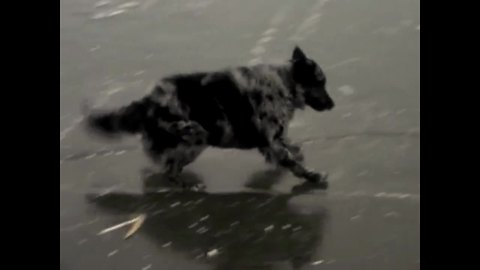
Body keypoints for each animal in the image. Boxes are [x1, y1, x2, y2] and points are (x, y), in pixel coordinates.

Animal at [85, 46, 334, 189]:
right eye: (320, 83)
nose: (332, 105)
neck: (285, 84)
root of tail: (147, 101)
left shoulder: (272, 141)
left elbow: (292, 149)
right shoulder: (270, 141)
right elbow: (293, 163)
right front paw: (313, 176)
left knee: (166, 165)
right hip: (196, 136)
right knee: (169, 169)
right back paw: (186, 186)